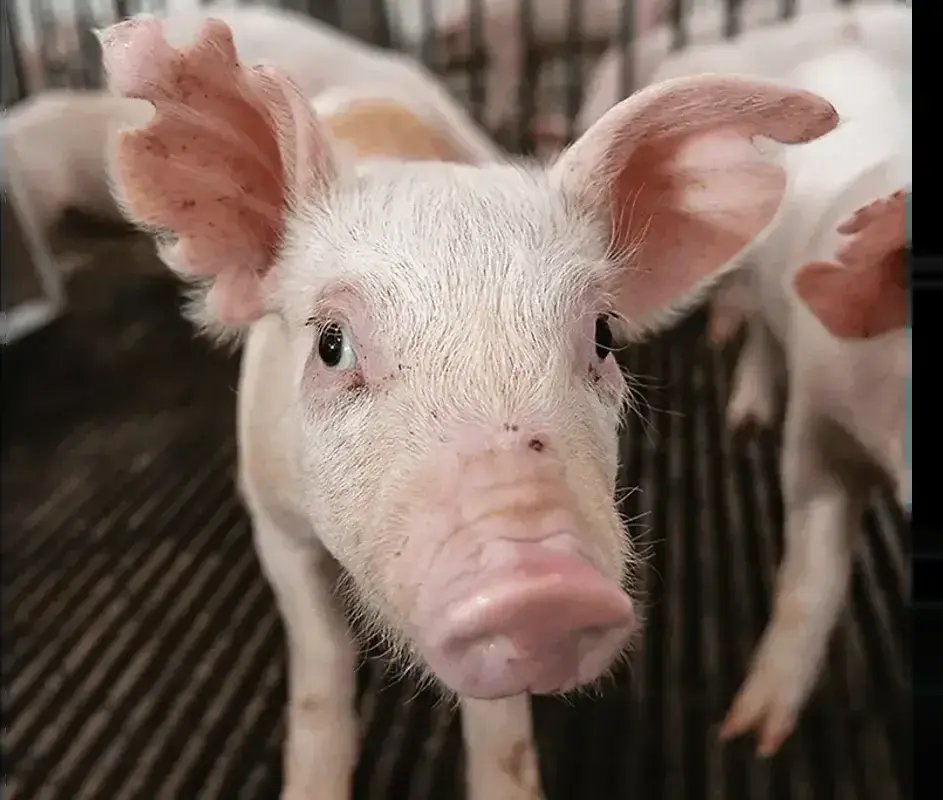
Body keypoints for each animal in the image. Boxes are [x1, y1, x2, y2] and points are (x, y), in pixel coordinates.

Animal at [98, 15, 838, 799]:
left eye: (603, 336)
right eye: (331, 344)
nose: (540, 586)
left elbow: (501, 723)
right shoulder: (271, 517)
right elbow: (321, 662)